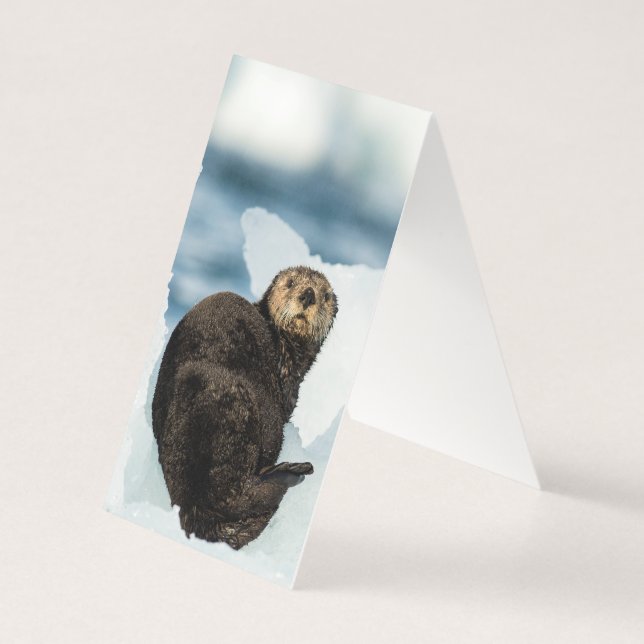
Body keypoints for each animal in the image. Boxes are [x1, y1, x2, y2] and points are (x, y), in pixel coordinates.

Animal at [152, 266, 338, 549]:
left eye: (325, 295)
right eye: (290, 282)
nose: (308, 295)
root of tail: (192, 505)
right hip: (236, 413)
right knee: (241, 496)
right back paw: (292, 471)